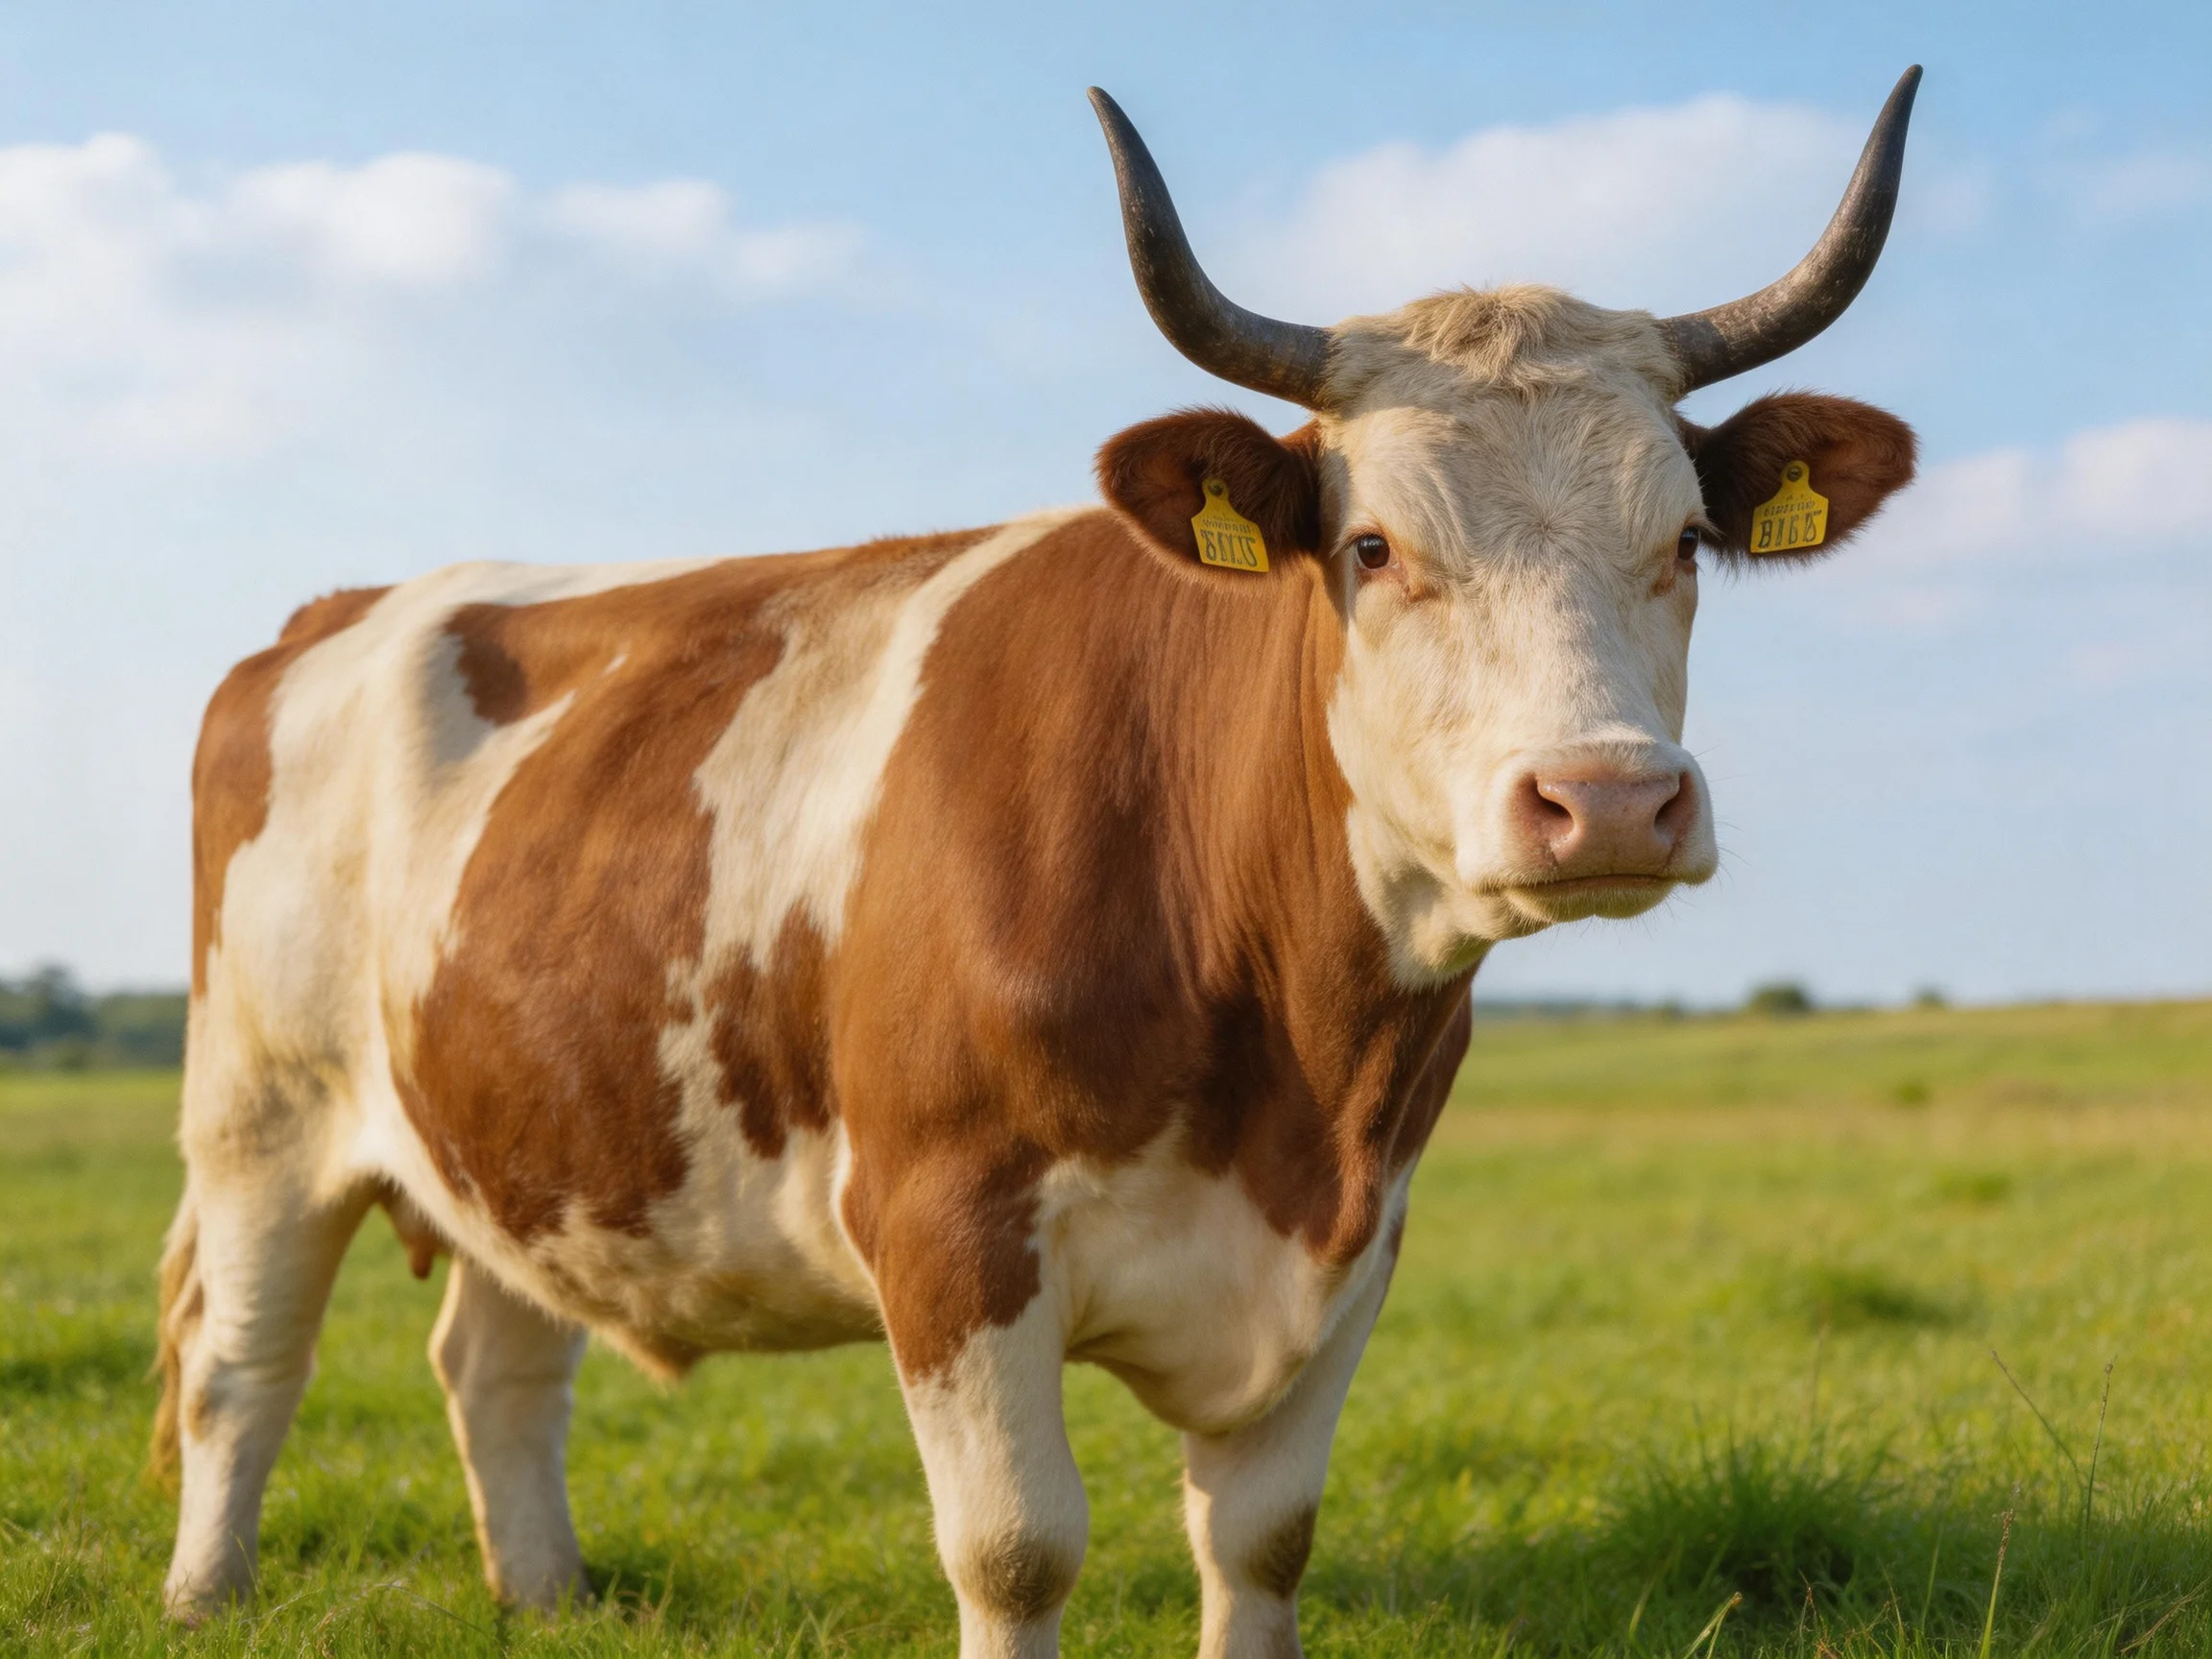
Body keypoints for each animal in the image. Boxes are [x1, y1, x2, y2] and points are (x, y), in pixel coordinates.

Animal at [154, 71, 1921, 1657]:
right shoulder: (947, 1226)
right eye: (1370, 547)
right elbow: (1015, 1551)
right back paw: (204, 1597)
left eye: (1683, 541)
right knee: (243, 1365)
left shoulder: (1356, 1244)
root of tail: (341, 606)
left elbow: (1261, 1542)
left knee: (501, 1362)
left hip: (535, 1128)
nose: (1608, 802)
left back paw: (545, 1600)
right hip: (259, 1111)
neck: (1287, 1068)